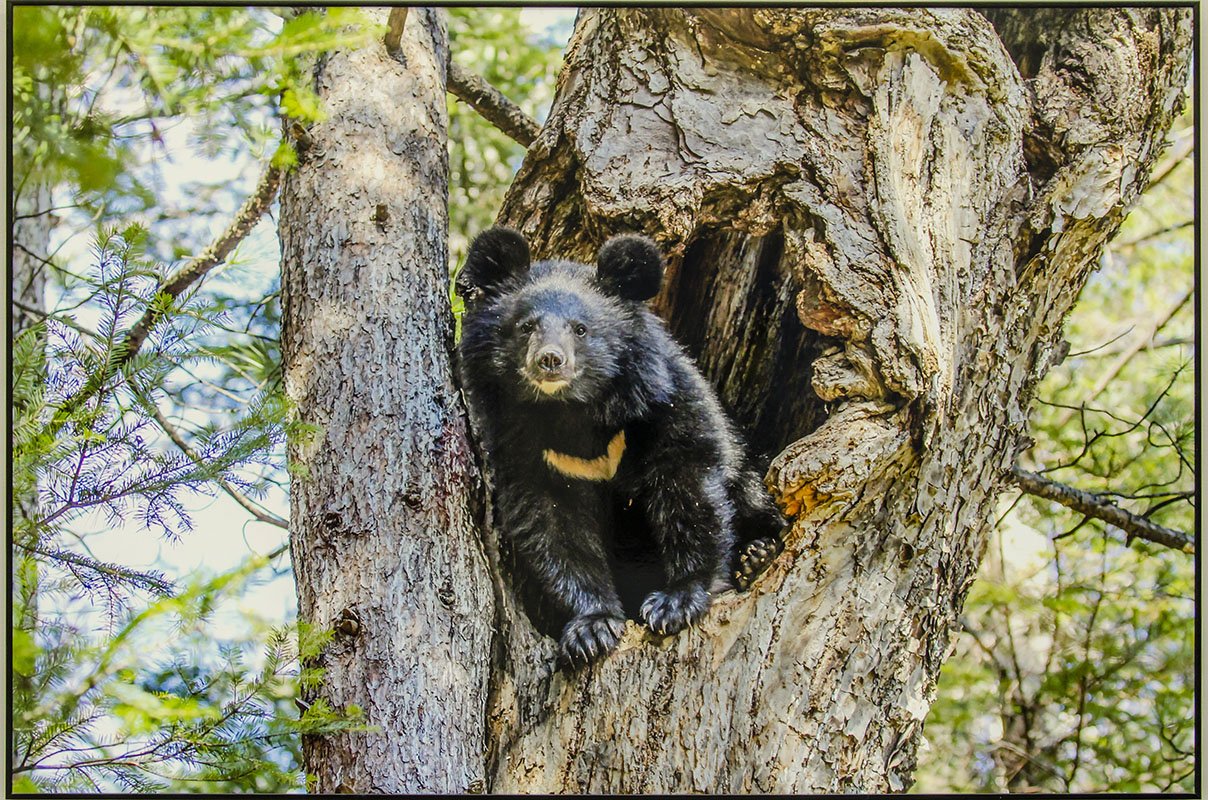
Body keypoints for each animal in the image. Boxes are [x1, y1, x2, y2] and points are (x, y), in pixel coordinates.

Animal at [454, 228, 782, 667]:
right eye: (526, 326)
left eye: (580, 329)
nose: (550, 360)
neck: (571, 412)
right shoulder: (527, 450)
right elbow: (553, 527)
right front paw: (591, 629)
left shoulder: (666, 406)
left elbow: (691, 488)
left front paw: (674, 603)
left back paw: (756, 555)